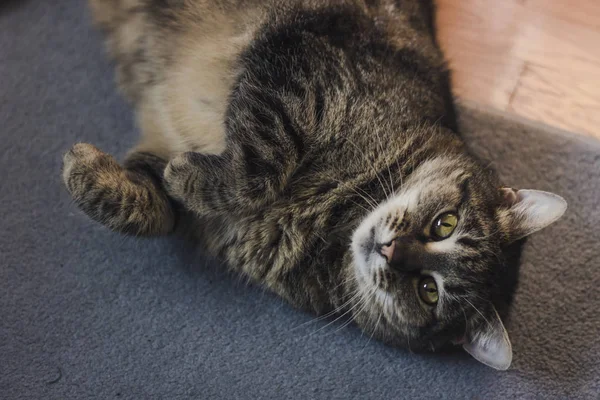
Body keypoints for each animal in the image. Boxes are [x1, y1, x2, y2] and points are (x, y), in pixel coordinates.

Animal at [62, 0, 568, 370]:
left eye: (429, 291)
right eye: (445, 224)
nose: (392, 250)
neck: (331, 213)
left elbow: (160, 204)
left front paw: (98, 171)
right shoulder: (304, 68)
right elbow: (262, 161)